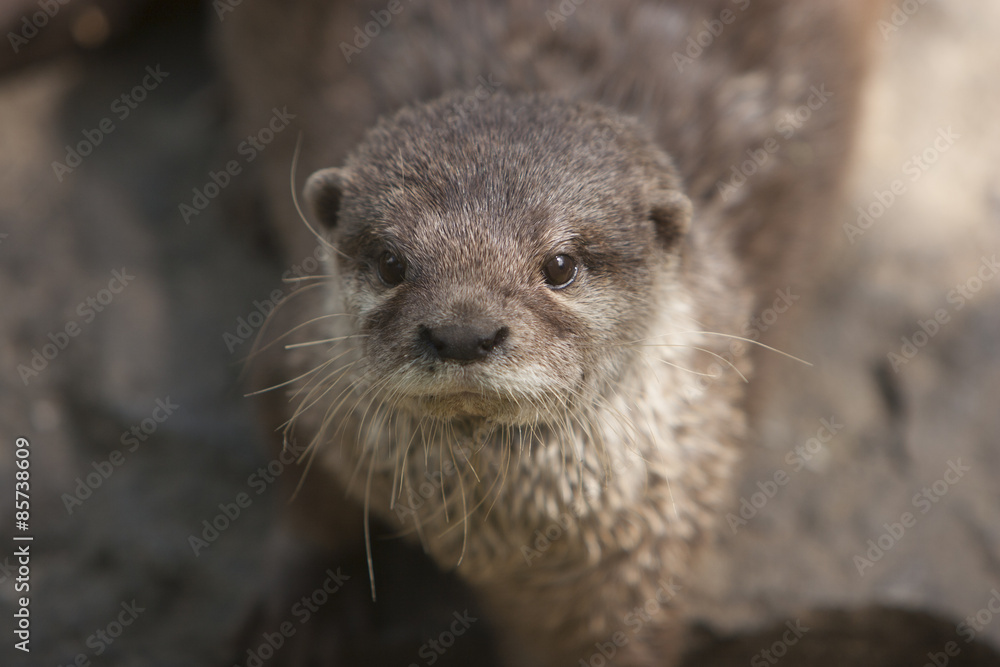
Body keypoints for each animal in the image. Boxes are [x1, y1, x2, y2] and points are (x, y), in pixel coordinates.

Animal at [218, 1, 878, 665]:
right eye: (389, 262)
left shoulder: (653, 534)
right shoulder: (294, 360)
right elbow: (304, 498)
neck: (488, 532)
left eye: (560, 265)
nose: (464, 332)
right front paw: (304, 612)